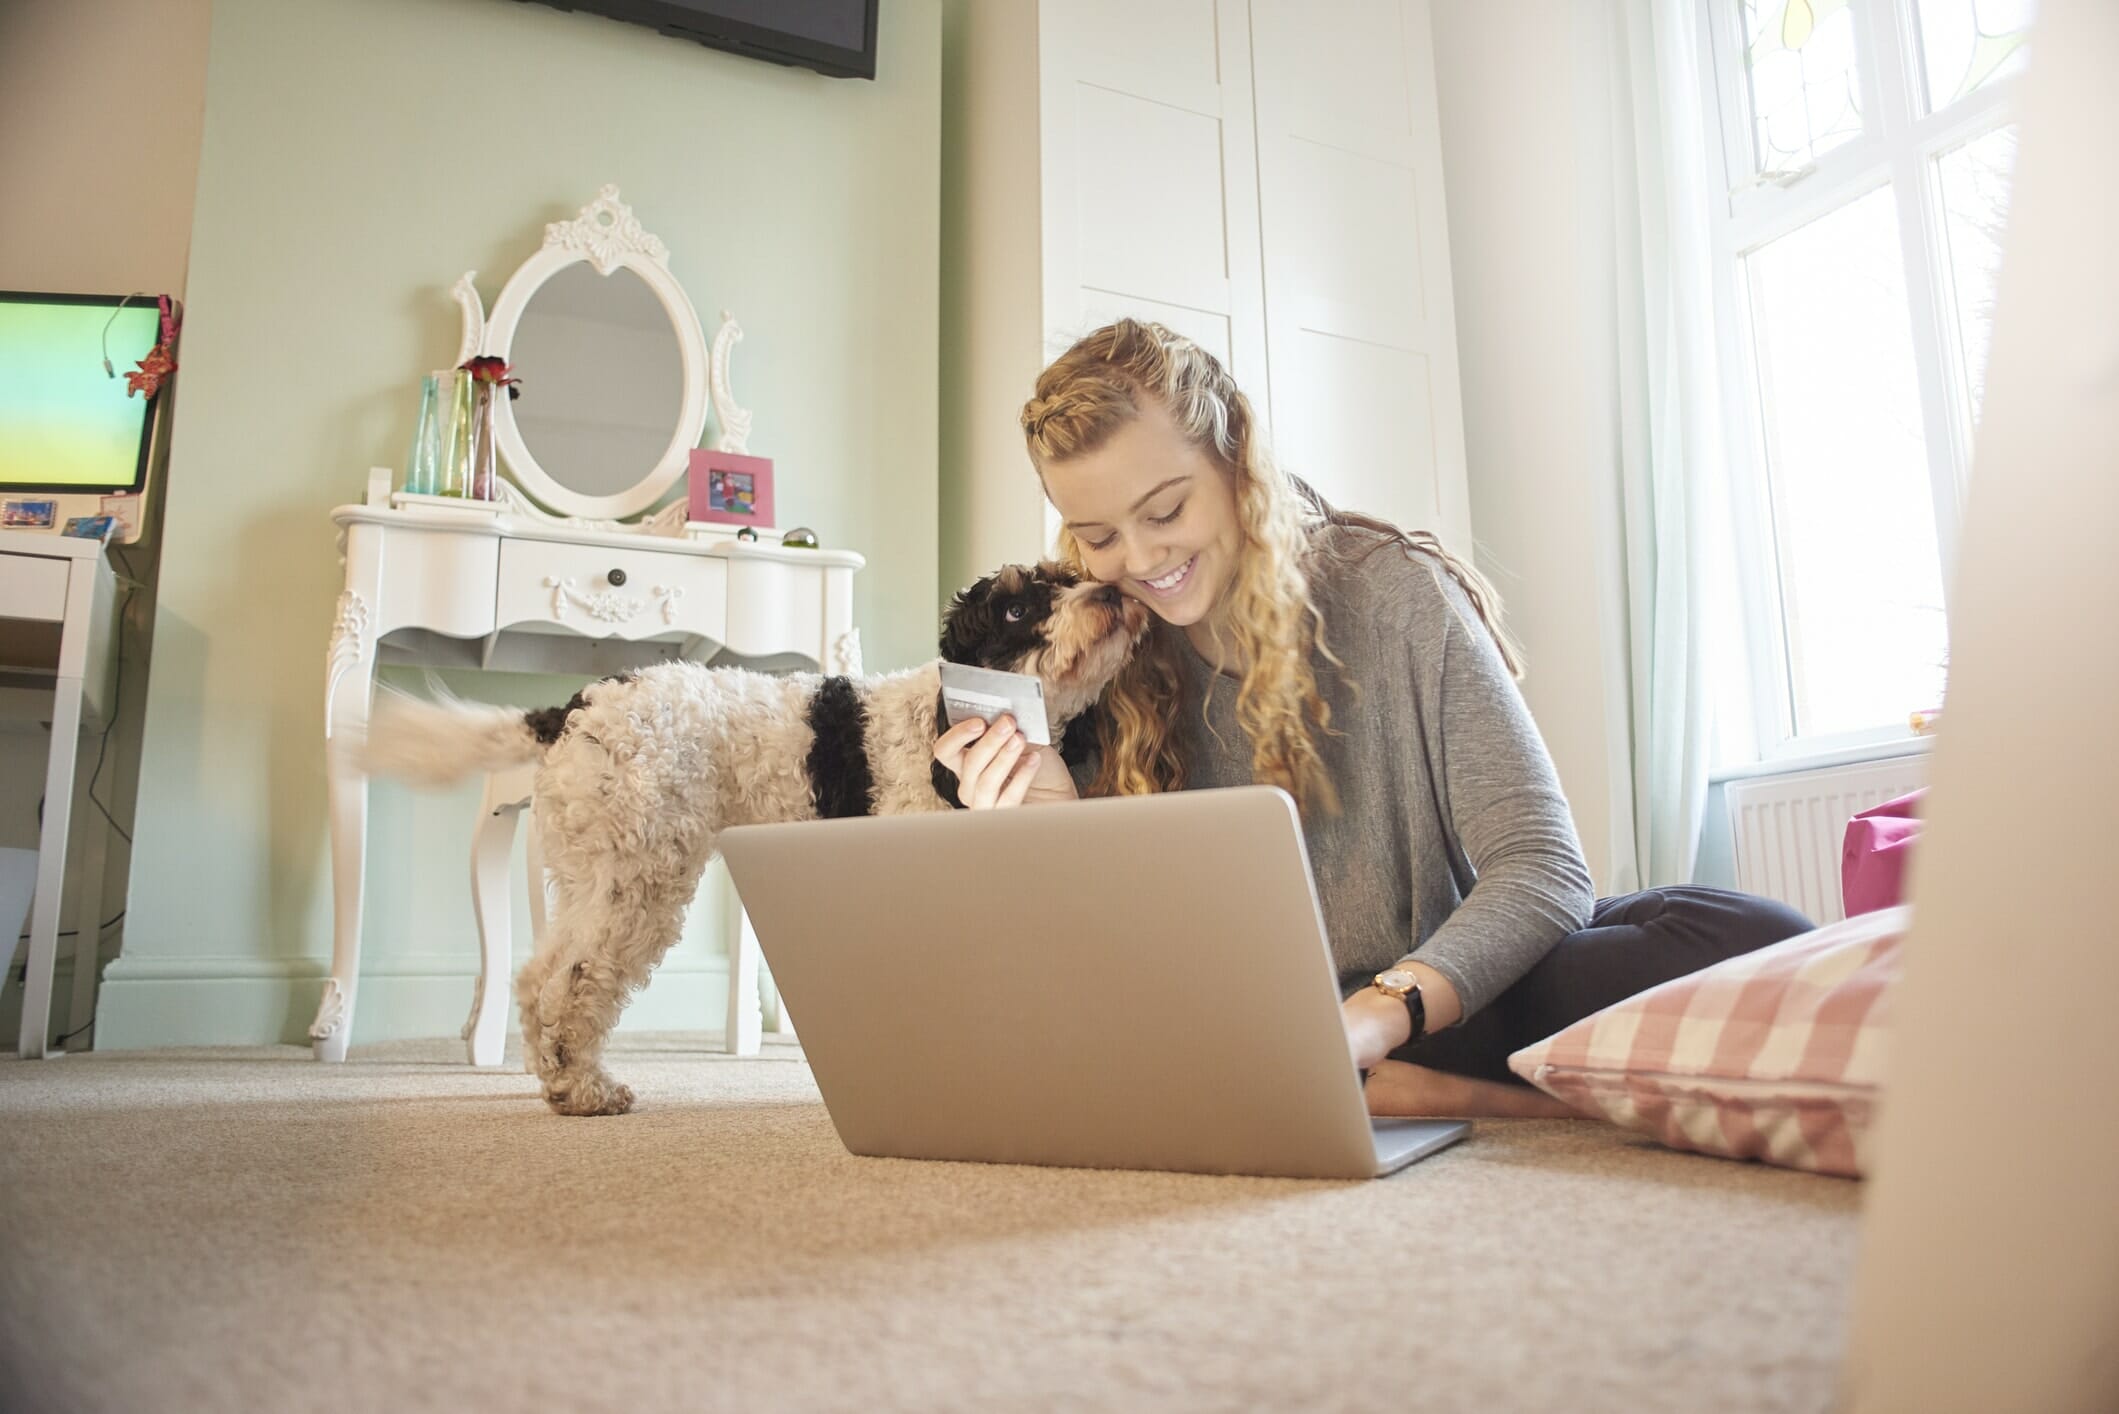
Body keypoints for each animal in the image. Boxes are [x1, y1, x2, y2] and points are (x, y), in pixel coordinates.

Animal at [360, 563, 1144, 1119]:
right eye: (1016, 608)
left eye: (1065, 575)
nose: (1112, 591)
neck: (943, 719)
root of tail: (574, 708)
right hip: (639, 875)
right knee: (575, 980)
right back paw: (580, 1088)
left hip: (596, 869)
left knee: (536, 973)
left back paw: (554, 1073)